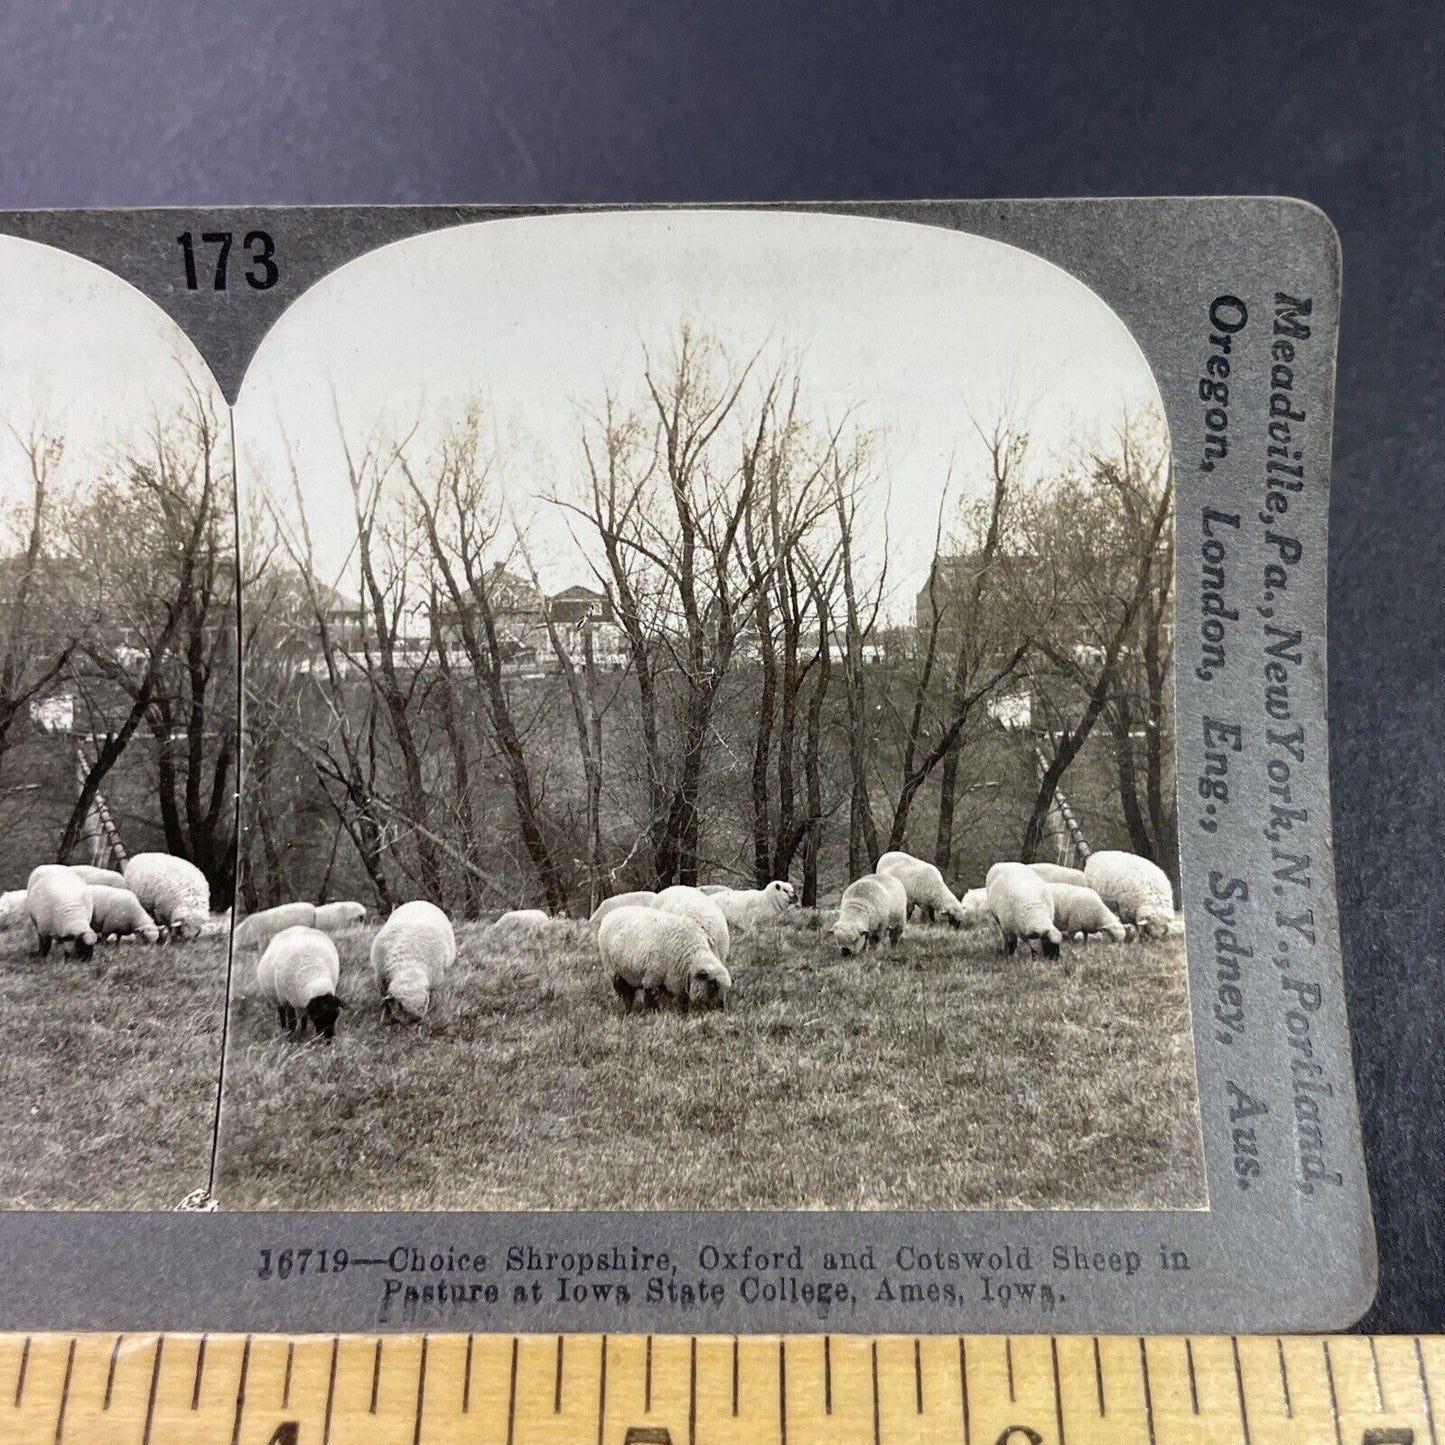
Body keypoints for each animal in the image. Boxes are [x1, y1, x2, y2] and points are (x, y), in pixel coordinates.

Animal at [372, 895, 456, 1023]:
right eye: (400, 1005)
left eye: (424, 1002)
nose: (414, 1020)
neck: (408, 965)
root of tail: (420, 901)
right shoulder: (381, 981)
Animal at [598, 901, 734, 1017]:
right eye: (713, 985)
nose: (721, 1009)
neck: (689, 956)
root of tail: (610, 914)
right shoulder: (652, 977)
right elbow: (650, 997)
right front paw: (650, 1014)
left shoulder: (679, 981)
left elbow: (682, 1000)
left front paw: (682, 1014)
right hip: (615, 972)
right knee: (627, 995)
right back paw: (628, 1012)